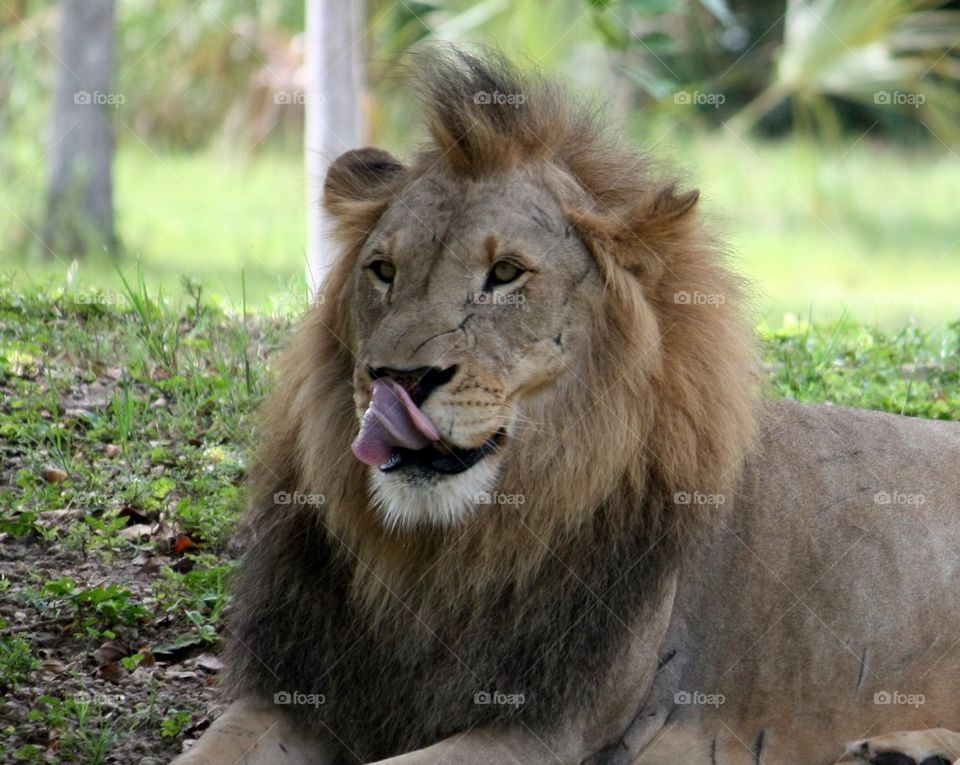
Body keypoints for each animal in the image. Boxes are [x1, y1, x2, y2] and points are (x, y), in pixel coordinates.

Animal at [170, 50, 960, 765]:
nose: (397, 378)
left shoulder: (548, 728)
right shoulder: (294, 697)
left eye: (506, 273)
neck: (435, 555)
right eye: (383, 271)